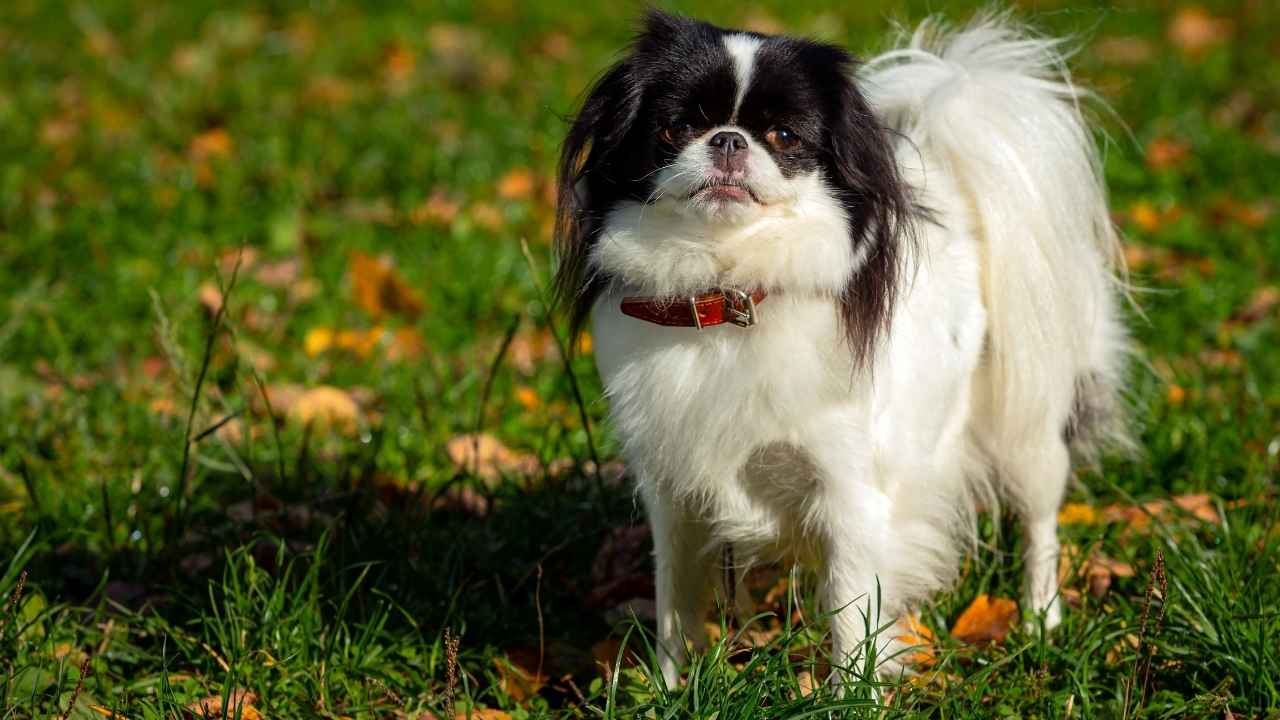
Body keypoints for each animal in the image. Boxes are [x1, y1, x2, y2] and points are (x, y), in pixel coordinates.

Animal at [552, 11, 1131, 681]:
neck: (728, 293)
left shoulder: (849, 495)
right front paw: (673, 687)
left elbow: (851, 618)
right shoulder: (676, 496)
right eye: (678, 127)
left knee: (1040, 521)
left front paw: (848, 692)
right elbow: (677, 605)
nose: (728, 140)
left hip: (1025, 428)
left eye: (783, 135)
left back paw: (1041, 620)